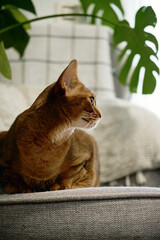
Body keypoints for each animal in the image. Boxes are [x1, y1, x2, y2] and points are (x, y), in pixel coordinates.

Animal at [0, 59, 101, 193]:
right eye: (91, 99)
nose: (101, 115)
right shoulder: (5, 163)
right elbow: (16, 177)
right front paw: (26, 189)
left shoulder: (86, 151)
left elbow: (69, 174)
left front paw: (59, 185)